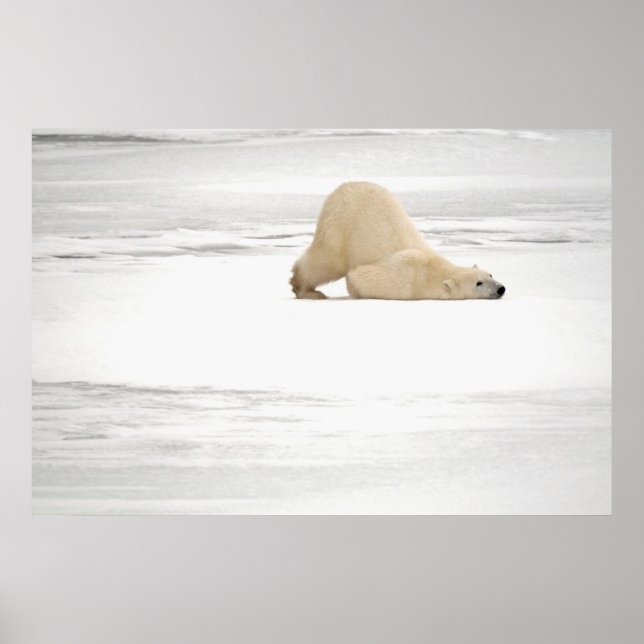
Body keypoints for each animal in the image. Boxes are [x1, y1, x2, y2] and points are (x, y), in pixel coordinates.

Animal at [290, 181, 506, 300]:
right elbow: (359, 276)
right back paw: (305, 289)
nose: (500, 288)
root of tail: (342, 188)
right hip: (339, 225)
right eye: (478, 283)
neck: (432, 269)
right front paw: (356, 290)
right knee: (326, 261)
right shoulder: (406, 276)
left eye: (490, 274)